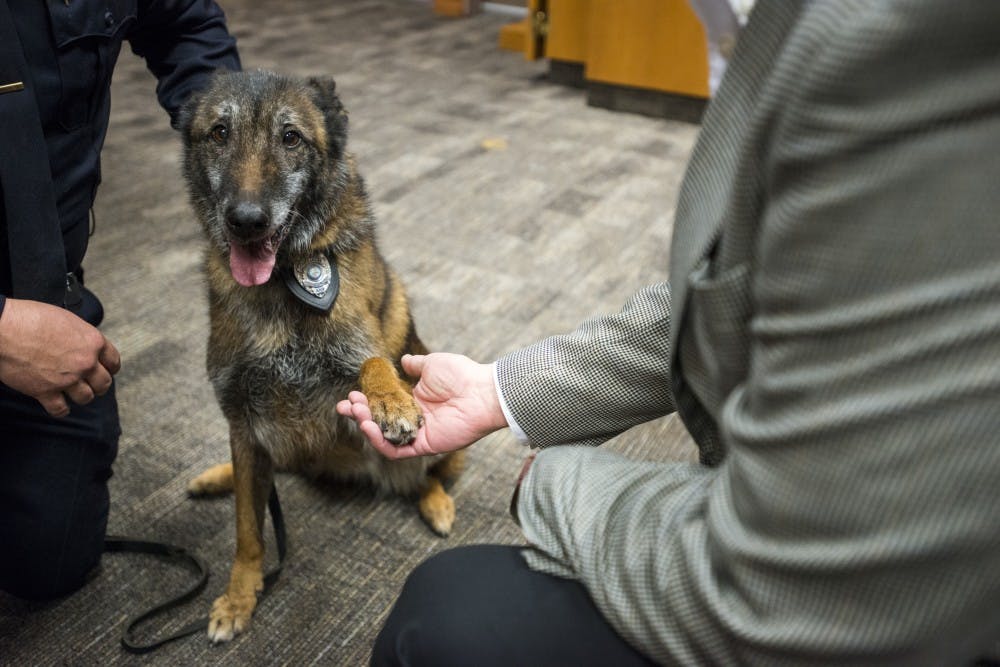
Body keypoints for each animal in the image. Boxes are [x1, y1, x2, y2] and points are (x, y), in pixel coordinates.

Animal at [179, 70, 460, 644]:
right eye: (219, 132)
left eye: (291, 138)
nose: (246, 221)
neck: (280, 285)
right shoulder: (244, 426)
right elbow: (247, 530)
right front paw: (240, 596)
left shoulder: (365, 351)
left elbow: (373, 363)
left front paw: (391, 404)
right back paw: (217, 476)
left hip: (434, 444)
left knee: (429, 474)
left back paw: (436, 502)